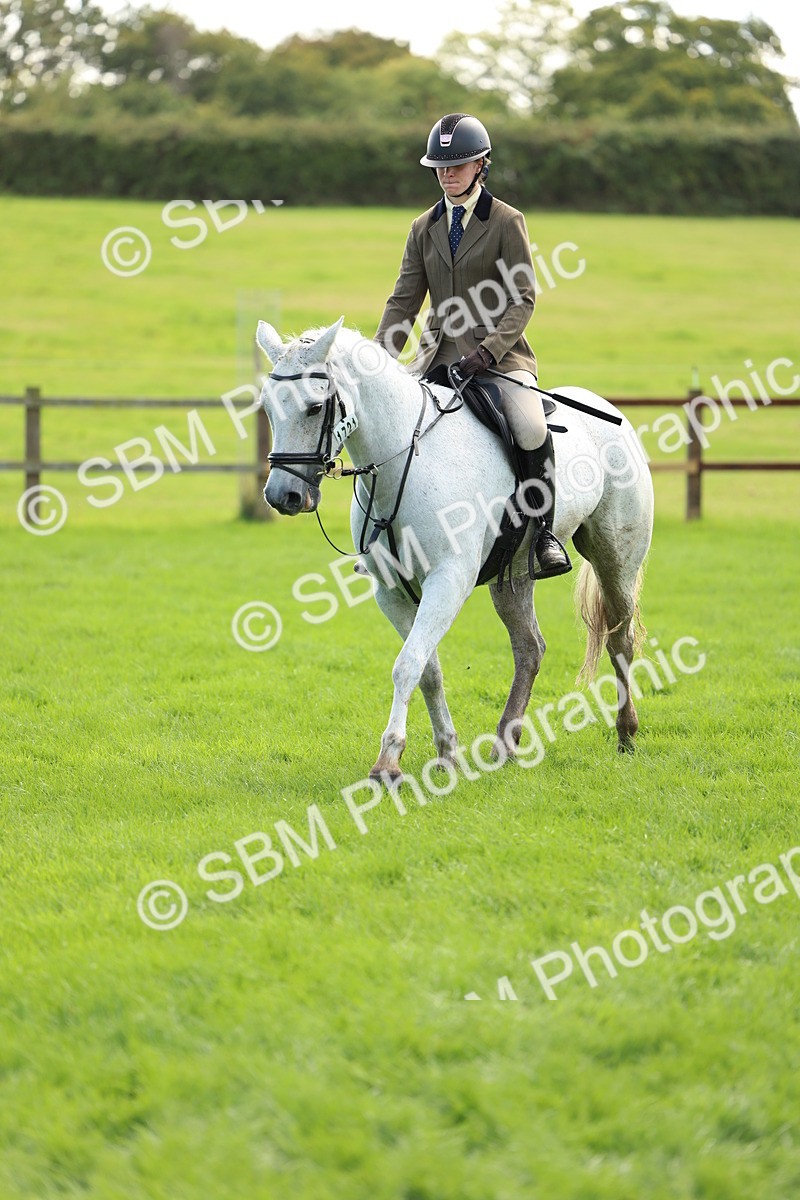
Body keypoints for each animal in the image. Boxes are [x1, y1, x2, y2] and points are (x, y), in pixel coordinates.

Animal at [257, 318, 654, 781]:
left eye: (315, 407)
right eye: (268, 408)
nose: (282, 496)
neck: (405, 458)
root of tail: (611, 414)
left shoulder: (447, 581)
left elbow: (407, 663)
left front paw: (388, 762)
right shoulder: (391, 591)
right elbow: (427, 670)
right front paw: (447, 752)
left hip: (616, 560)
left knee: (620, 640)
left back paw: (626, 733)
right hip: (513, 576)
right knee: (530, 649)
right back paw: (505, 744)